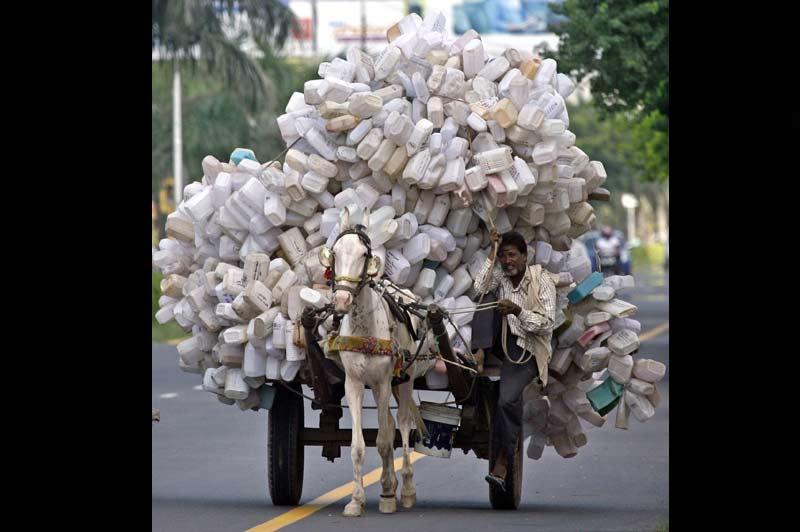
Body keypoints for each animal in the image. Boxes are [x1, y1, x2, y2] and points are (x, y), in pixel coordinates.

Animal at [318, 210, 434, 516]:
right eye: (335, 253)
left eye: (364, 254)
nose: (342, 299)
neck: (365, 328)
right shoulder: (355, 383)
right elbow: (359, 445)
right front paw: (356, 500)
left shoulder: (382, 383)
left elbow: (383, 441)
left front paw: (389, 500)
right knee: (392, 425)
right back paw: (388, 484)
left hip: (405, 379)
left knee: (402, 425)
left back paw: (405, 488)